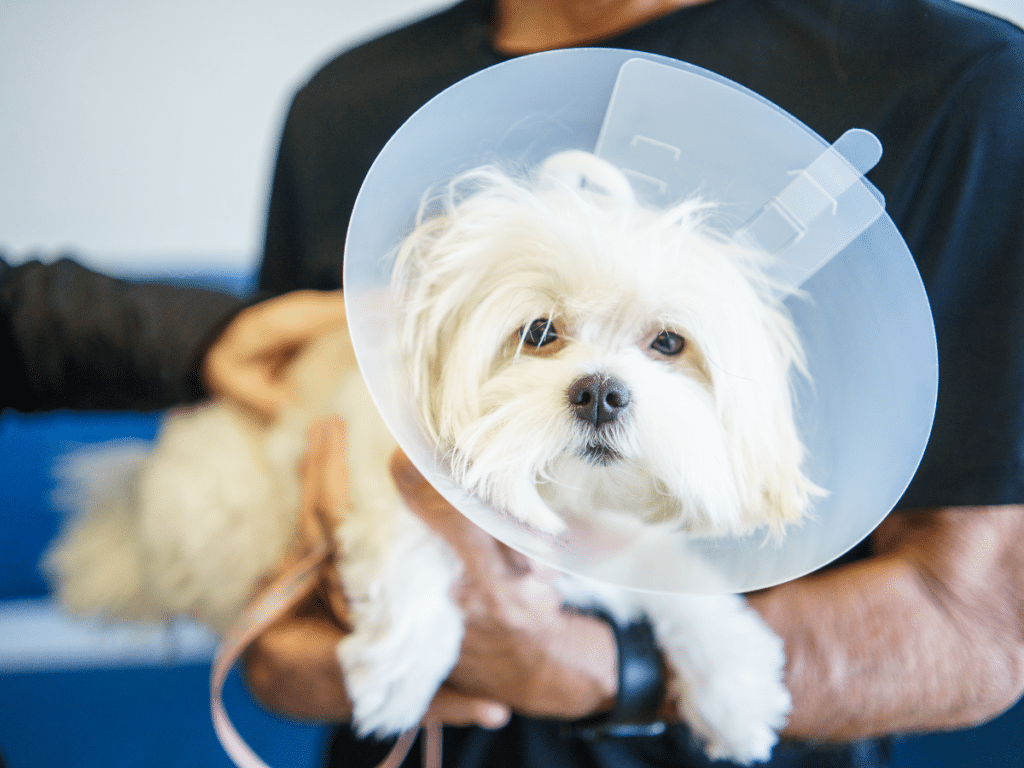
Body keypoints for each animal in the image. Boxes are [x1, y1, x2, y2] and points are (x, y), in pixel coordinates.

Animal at [48, 148, 819, 765]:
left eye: (667, 343)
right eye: (538, 332)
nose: (600, 393)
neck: (562, 505)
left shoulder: (622, 543)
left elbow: (681, 585)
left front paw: (737, 685)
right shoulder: (370, 464)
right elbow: (406, 544)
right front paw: (401, 665)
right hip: (224, 513)